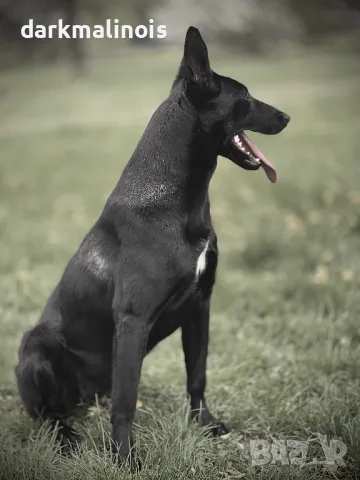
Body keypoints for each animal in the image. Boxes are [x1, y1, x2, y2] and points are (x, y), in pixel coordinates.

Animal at [15, 27, 290, 464]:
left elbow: (197, 374)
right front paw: (124, 458)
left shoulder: (200, 305)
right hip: (37, 346)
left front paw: (204, 424)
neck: (175, 201)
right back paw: (67, 438)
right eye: (245, 97)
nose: (286, 117)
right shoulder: (133, 319)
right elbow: (127, 403)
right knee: (49, 415)